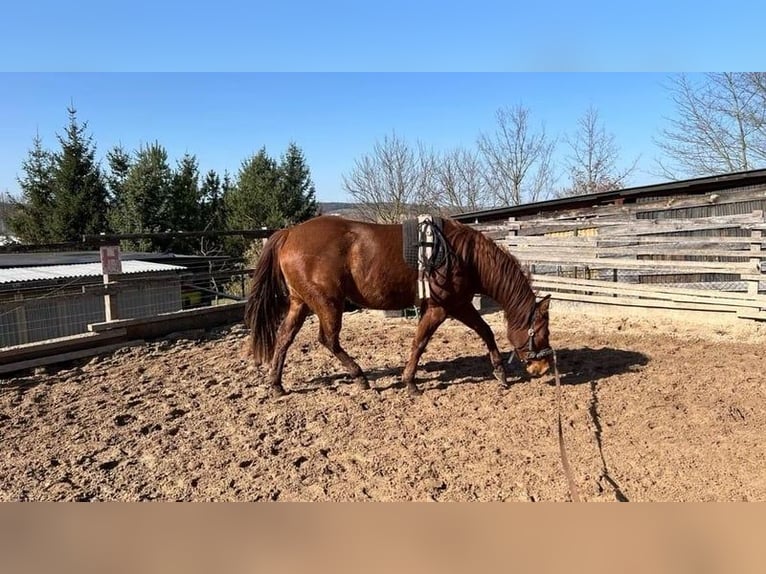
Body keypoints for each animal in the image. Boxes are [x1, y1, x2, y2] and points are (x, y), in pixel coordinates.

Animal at [244, 215, 553, 397]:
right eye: (542, 331)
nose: (543, 368)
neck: (464, 256)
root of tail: (289, 233)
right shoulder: (443, 307)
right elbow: (421, 342)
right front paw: (410, 382)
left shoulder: (456, 304)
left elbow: (485, 331)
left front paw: (500, 373)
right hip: (327, 303)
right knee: (328, 339)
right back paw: (360, 377)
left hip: (301, 303)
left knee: (284, 338)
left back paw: (276, 385)